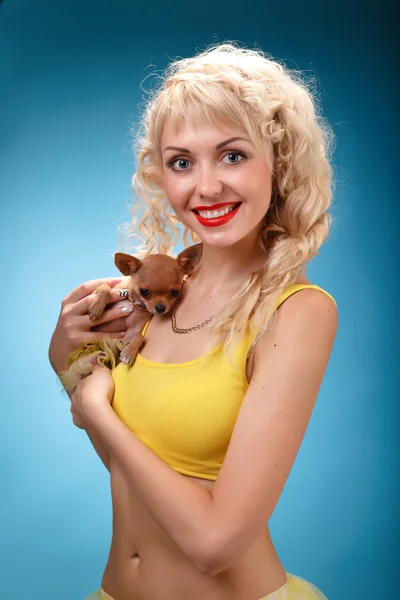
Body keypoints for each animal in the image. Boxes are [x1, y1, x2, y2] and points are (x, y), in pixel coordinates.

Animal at [57, 244, 202, 394]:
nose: (161, 308)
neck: (134, 304)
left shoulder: (130, 333)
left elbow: (139, 336)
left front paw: (129, 353)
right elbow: (106, 287)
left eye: (175, 292)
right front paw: (96, 308)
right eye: (144, 291)